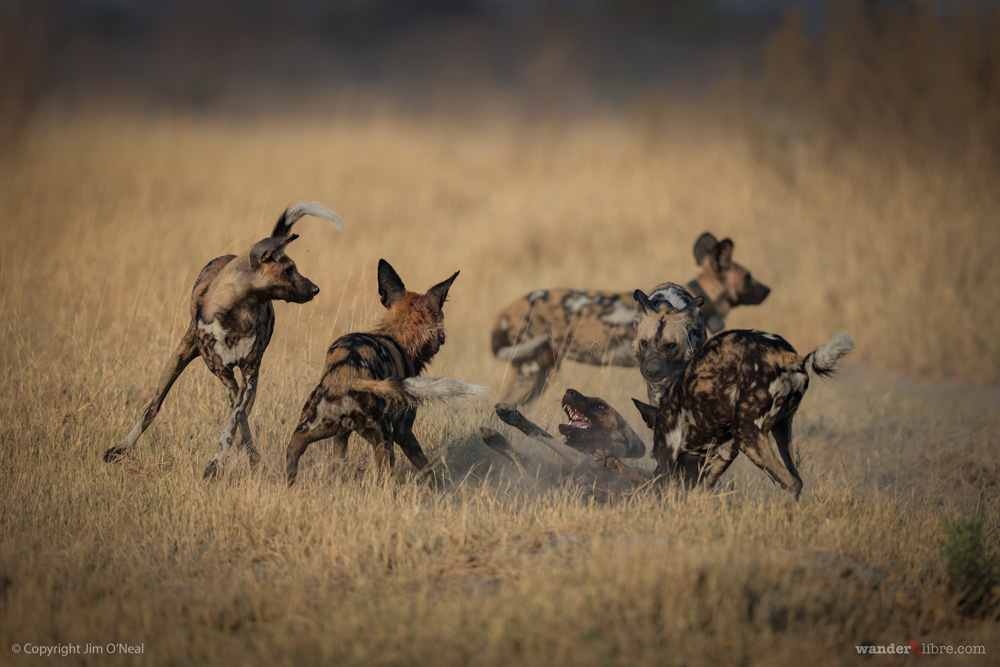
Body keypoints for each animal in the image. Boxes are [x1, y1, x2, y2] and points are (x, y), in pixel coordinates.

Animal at [104, 201, 348, 478]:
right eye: (288, 270)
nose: (315, 289)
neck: (237, 312)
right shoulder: (226, 377)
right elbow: (236, 421)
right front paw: (220, 463)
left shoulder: (248, 377)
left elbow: (233, 423)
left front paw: (216, 463)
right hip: (176, 360)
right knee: (152, 407)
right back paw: (121, 448)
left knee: (242, 419)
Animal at [286, 260, 488, 486]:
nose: (443, 337)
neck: (398, 335)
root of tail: (348, 376)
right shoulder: (403, 431)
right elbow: (426, 468)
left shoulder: (342, 434)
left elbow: (338, 463)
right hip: (384, 439)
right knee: (384, 479)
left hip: (312, 429)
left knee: (293, 450)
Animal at [632, 328, 852, 500]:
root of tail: (786, 356)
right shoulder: (726, 452)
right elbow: (700, 489)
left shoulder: (666, 458)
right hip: (780, 431)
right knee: (797, 480)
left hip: (747, 434)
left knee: (791, 483)